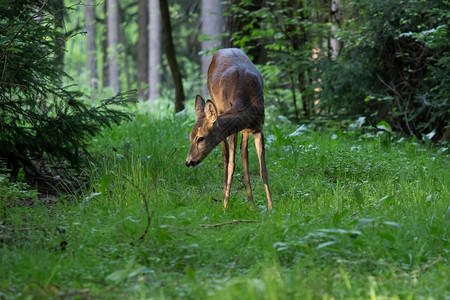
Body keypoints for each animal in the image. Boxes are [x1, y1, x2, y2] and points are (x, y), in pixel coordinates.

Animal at [185, 48, 272, 210]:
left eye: (200, 138)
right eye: (189, 137)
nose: (189, 162)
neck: (247, 101)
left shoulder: (259, 128)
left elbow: (263, 169)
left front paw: (271, 207)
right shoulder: (233, 127)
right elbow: (232, 165)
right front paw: (225, 206)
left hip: (244, 131)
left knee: (244, 153)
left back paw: (251, 203)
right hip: (218, 105)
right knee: (225, 155)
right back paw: (226, 196)